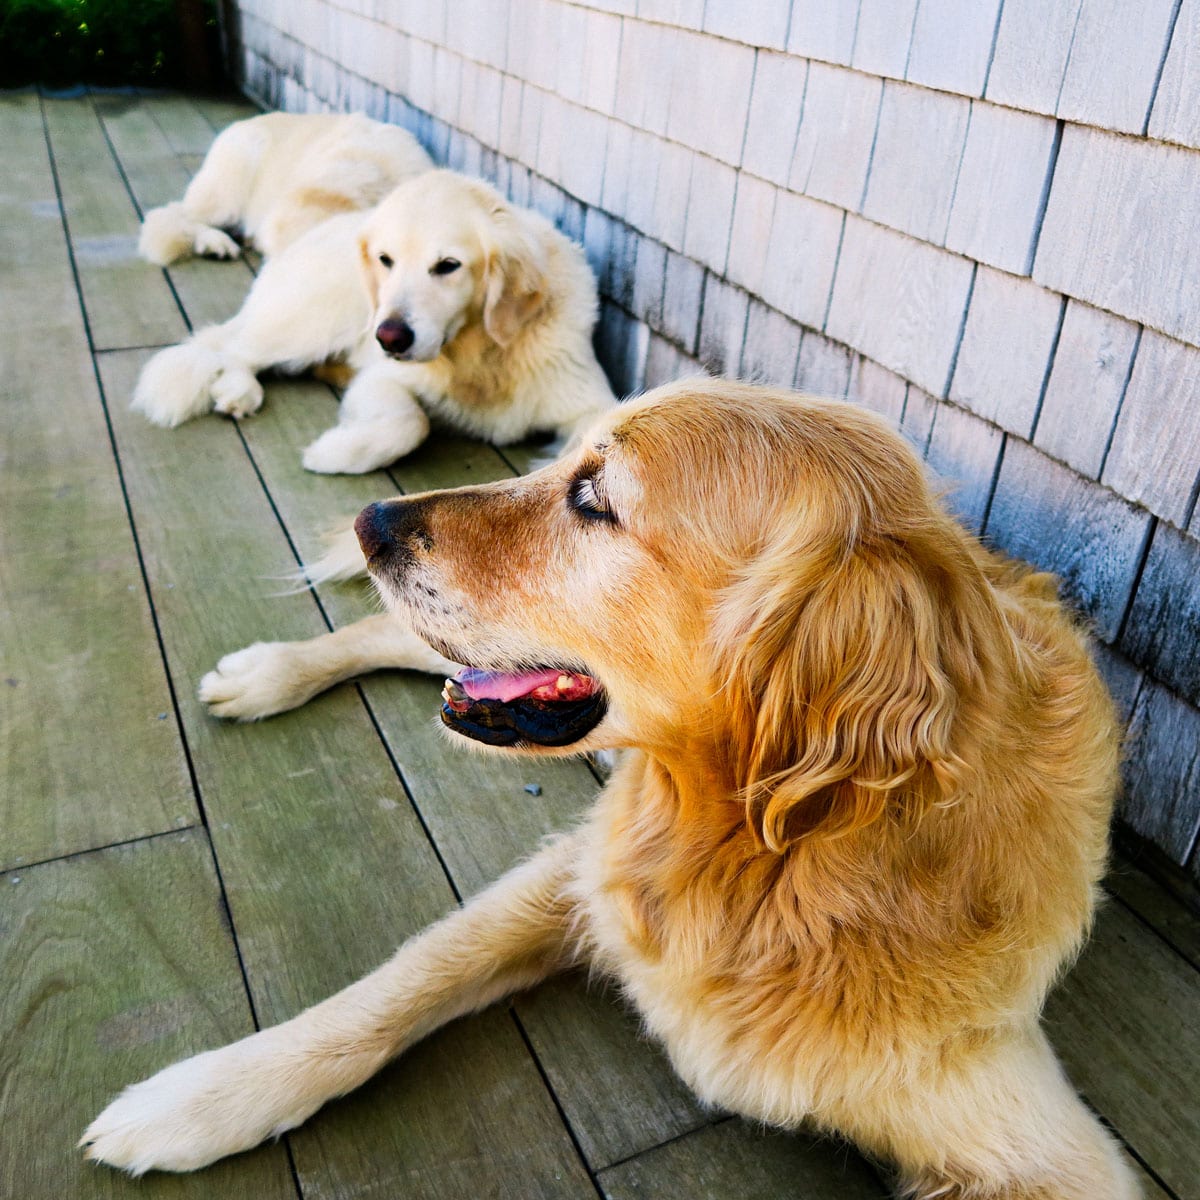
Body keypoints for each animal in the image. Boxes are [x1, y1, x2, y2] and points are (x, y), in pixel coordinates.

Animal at [82, 386, 1132, 1200]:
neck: (782, 856)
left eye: (593, 496)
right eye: (571, 465)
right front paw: (201, 1098)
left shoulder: (1038, 1144)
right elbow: (394, 987)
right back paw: (268, 673)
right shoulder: (582, 870)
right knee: (381, 640)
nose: (370, 524)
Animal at [135, 169, 614, 472]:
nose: (391, 338)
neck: (480, 353)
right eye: (386, 260)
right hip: (313, 320)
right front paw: (330, 454)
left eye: (448, 265)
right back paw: (239, 389)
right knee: (231, 347)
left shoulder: (592, 403)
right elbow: (411, 424)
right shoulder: (381, 378)